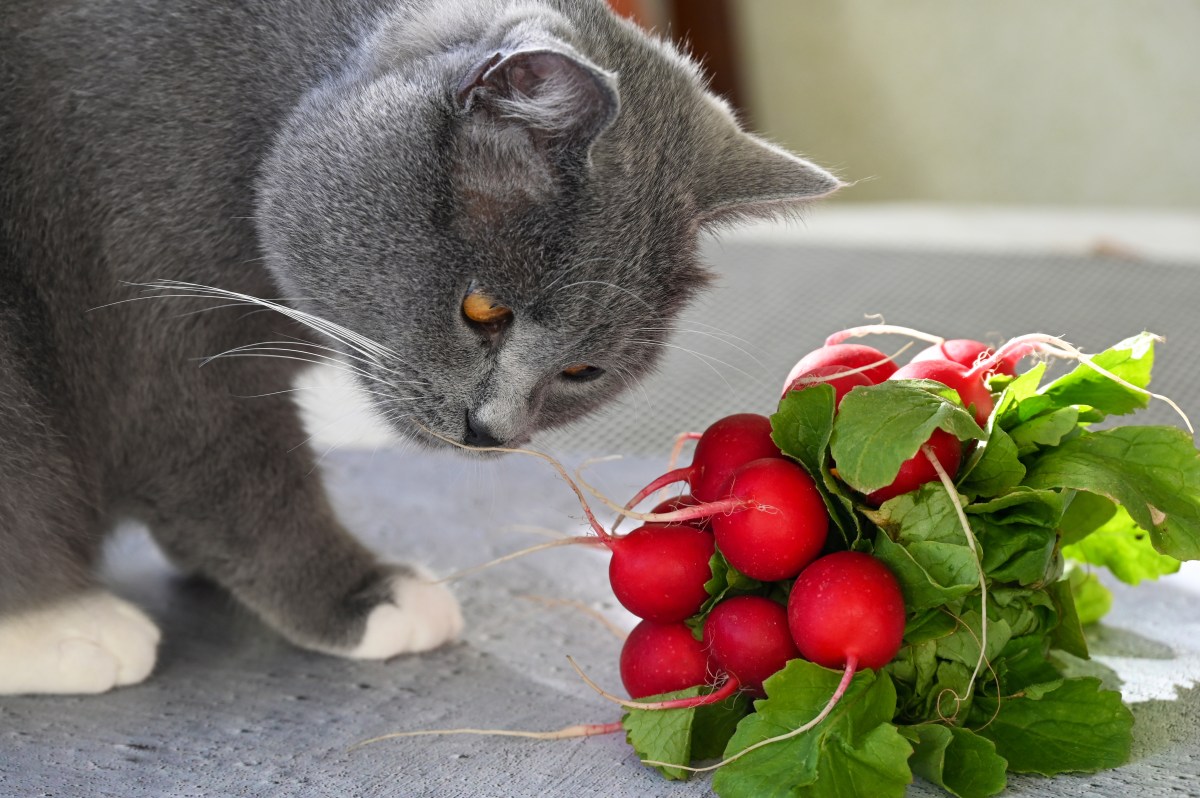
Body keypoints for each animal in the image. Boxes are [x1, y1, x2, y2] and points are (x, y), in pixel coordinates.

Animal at [0, 0, 840, 696]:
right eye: (484, 310)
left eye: (581, 371)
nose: (493, 431)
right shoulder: (165, 336)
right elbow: (242, 480)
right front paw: (368, 599)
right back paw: (76, 629)